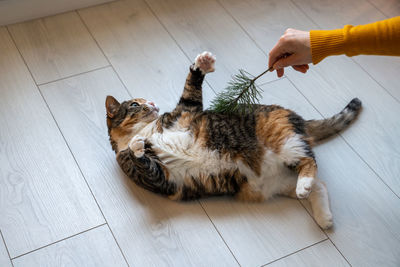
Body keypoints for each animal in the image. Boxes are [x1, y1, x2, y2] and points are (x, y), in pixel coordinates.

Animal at [106, 51, 362, 230]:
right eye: (135, 104)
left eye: (146, 101)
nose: (152, 104)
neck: (148, 130)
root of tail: (297, 117)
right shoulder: (157, 177)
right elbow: (143, 161)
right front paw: (137, 146)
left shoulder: (186, 112)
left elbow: (191, 88)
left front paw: (202, 64)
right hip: (277, 180)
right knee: (319, 184)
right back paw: (321, 213)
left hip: (284, 140)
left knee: (310, 161)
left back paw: (308, 189)